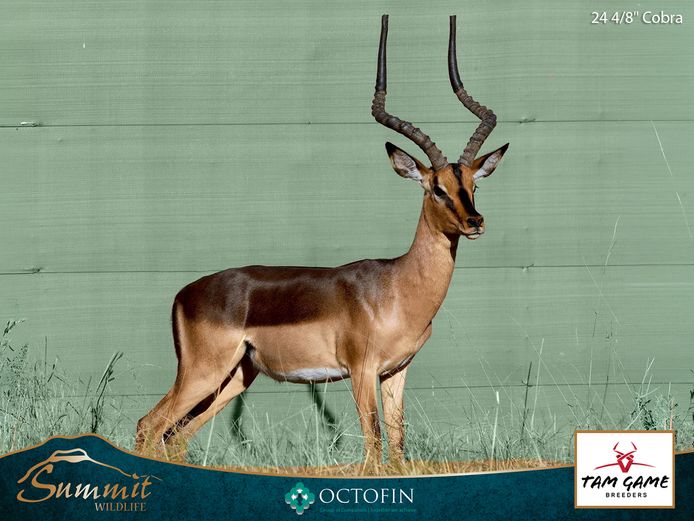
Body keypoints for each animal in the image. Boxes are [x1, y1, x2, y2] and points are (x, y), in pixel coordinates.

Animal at [135, 15, 509, 465]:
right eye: (436, 188)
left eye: (473, 184)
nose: (475, 221)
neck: (397, 287)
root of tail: (184, 294)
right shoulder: (361, 370)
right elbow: (374, 448)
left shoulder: (396, 372)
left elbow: (397, 447)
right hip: (203, 373)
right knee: (149, 426)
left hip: (236, 376)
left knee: (176, 438)